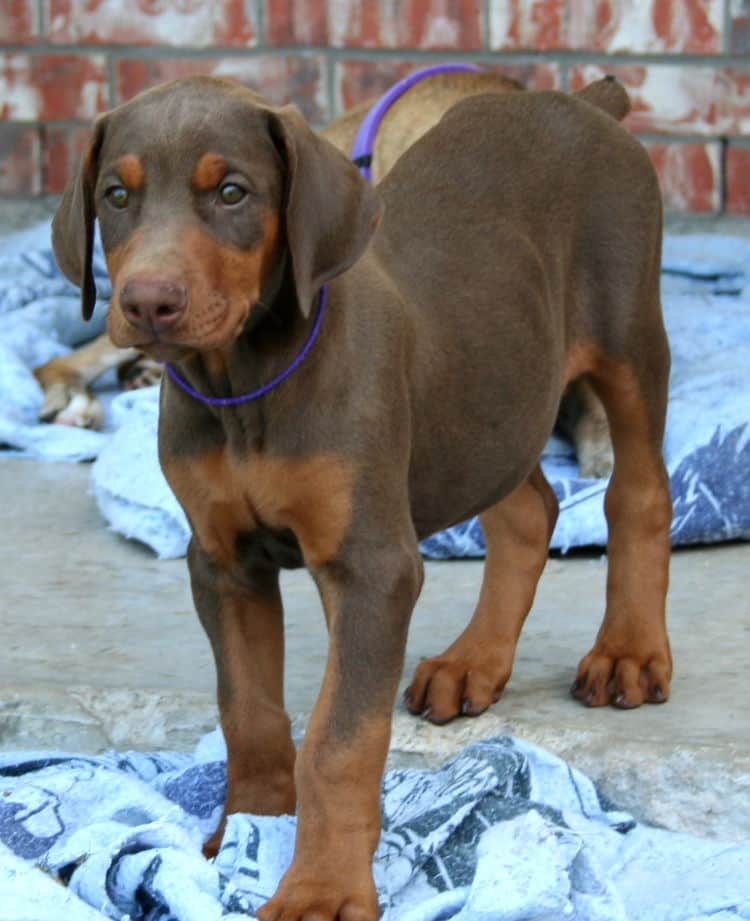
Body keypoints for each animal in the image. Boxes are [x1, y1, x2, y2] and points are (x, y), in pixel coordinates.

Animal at [54, 77, 676, 920]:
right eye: (116, 196)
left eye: (231, 192)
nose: (149, 303)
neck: (245, 384)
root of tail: (580, 99)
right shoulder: (221, 562)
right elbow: (248, 710)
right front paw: (249, 825)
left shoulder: (369, 566)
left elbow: (338, 739)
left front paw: (321, 886)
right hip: (490, 402)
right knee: (528, 509)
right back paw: (473, 661)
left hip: (627, 337)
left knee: (639, 495)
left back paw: (629, 651)